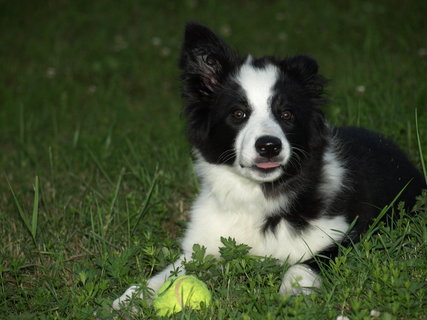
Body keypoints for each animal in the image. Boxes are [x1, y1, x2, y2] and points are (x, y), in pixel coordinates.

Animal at [112, 22, 426, 310]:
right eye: (238, 114)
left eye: (286, 114)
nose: (269, 146)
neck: (257, 195)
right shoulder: (202, 247)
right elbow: (168, 272)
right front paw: (132, 296)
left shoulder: (344, 235)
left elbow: (304, 263)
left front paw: (294, 292)